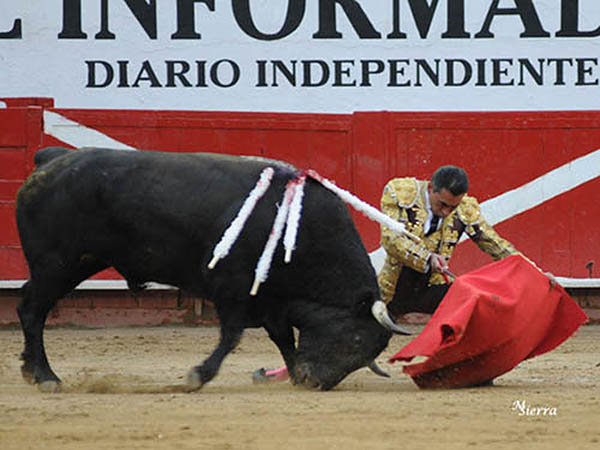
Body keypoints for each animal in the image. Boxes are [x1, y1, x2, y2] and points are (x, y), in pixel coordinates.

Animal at [15, 147, 408, 390]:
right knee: (32, 311)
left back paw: (33, 372)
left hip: (77, 263)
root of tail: (50, 159)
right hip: (55, 263)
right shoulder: (231, 289)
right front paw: (198, 375)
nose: (315, 381)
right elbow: (232, 335)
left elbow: (283, 337)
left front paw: (294, 373)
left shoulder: (272, 300)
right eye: (355, 338)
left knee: (31, 307)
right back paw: (46, 376)